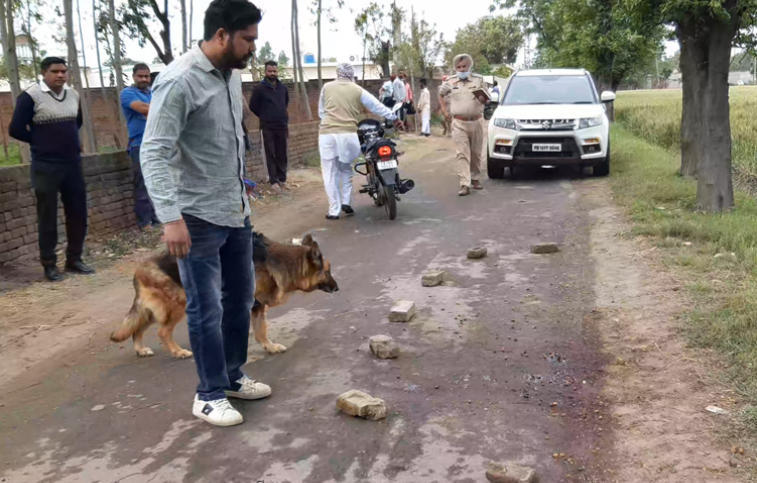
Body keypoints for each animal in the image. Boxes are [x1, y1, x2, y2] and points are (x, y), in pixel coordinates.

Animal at [110, 233, 338, 362]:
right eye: (327, 271)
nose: (337, 288)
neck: (279, 262)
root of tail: (140, 270)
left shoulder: (256, 306)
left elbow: (260, 331)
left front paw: (269, 347)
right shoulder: (249, 305)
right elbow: (258, 330)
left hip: (153, 311)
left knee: (136, 329)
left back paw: (141, 350)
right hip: (177, 306)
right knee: (163, 332)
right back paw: (178, 352)